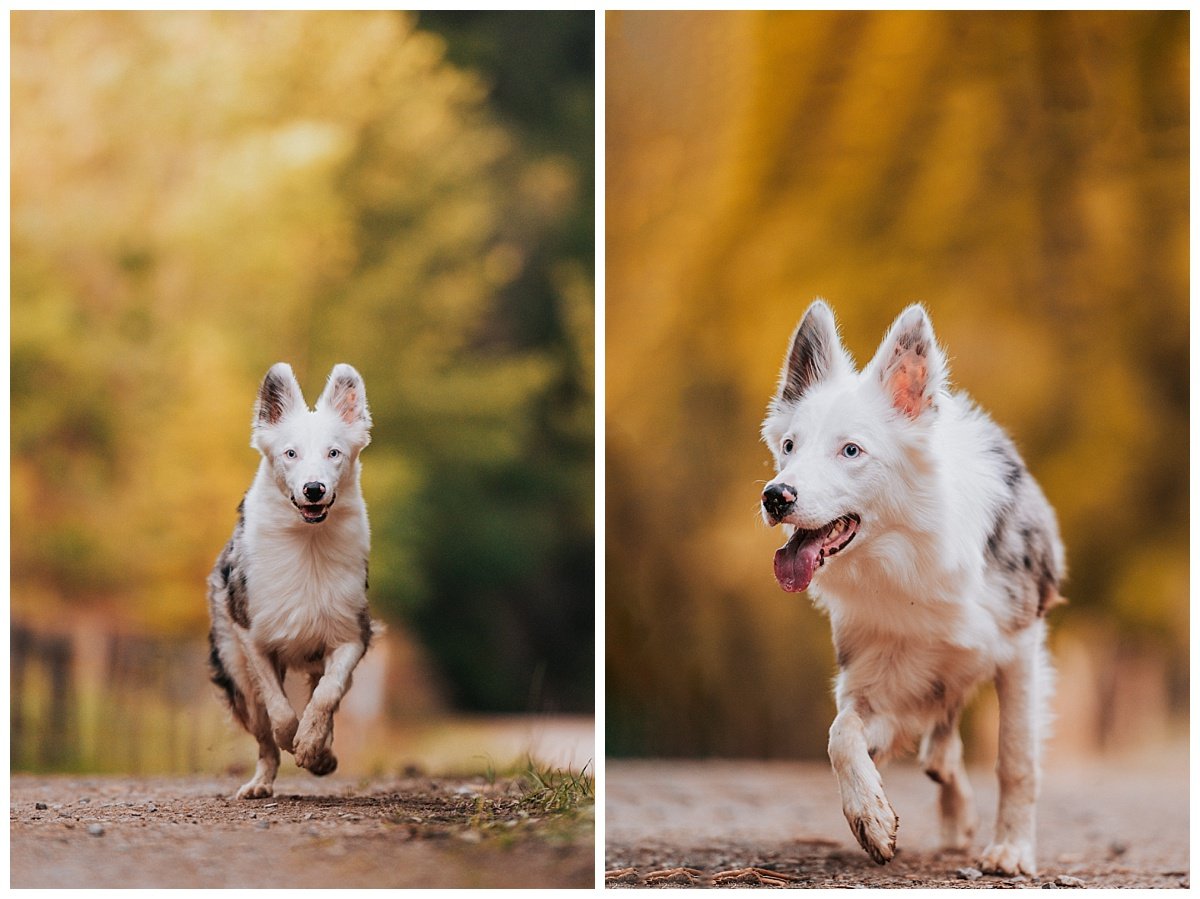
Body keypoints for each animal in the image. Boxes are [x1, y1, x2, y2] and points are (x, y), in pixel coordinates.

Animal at [205, 360, 374, 796]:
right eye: (290, 453)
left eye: (334, 453)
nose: (314, 489)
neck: (308, 543)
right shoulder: (253, 635)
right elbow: (278, 710)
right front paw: (293, 739)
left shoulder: (352, 633)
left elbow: (327, 695)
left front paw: (313, 745)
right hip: (234, 667)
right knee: (262, 731)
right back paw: (259, 784)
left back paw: (322, 754)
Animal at [763, 300, 1065, 868]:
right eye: (789, 446)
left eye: (851, 451)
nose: (775, 496)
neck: (907, 556)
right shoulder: (884, 678)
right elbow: (841, 733)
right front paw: (871, 817)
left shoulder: (1019, 647)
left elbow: (1015, 759)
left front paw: (1011, 849)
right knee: (938, 748)